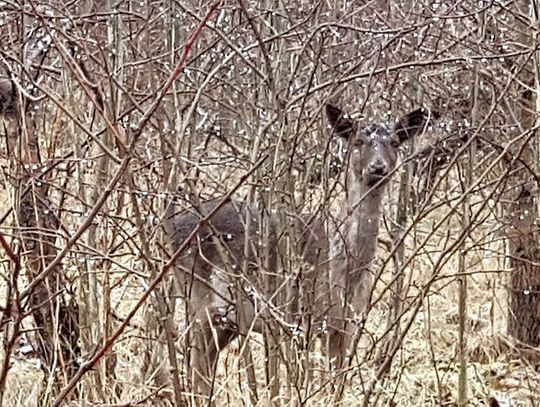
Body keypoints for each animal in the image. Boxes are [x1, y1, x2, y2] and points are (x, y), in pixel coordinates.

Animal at [162, 102, 436, 402]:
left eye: (395, 142)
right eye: (357, 141)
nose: (378, 167)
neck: (345, 271)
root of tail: (168, 228)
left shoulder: (345, 325)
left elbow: (336, 385)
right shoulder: (302, 317)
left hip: (225, 320)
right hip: (201, 300)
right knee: (196, 367)